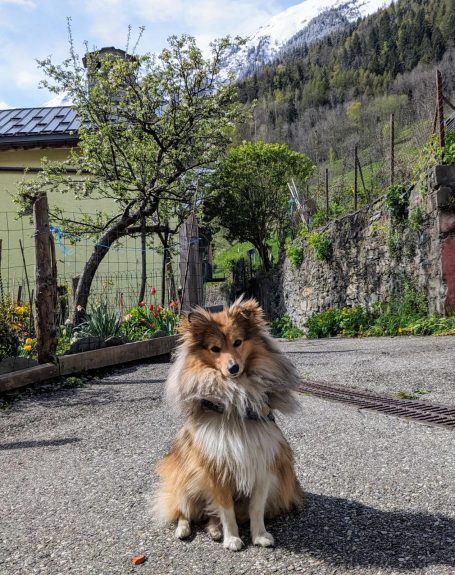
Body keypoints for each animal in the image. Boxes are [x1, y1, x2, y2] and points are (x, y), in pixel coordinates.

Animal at [154, 298, 303, 551]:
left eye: (238, 342)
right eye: (215, 349)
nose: (233, 368)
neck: (235, 397)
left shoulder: (261, 463)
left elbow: (255, 508)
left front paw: (259, 535)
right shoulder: (215, 467)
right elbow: (226, 509)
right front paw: (232, 538)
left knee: (209, 516)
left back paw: (214, 530)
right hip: (184, 479)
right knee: (183, 510)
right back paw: (184, 529)